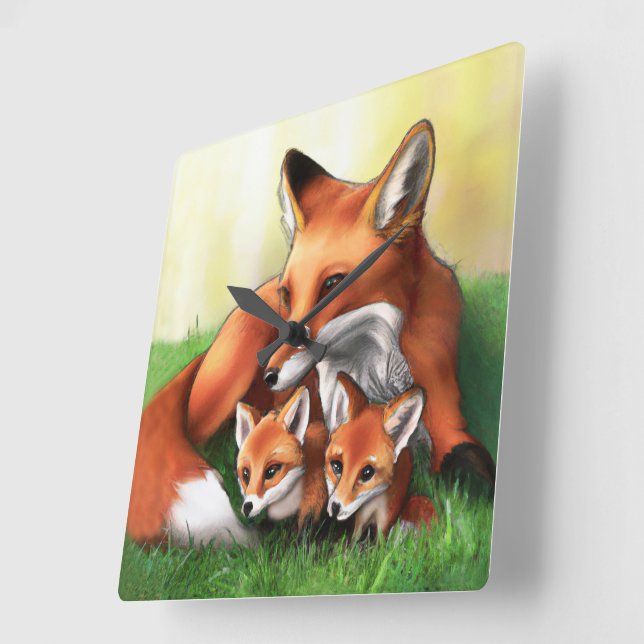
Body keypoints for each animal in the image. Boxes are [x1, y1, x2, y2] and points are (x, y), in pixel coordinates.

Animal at [325, 372, 436, 540]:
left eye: (367, 472)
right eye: (337, 466)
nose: (335, 507)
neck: (375, 503)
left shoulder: (386, 518)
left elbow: (380, 544)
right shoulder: (361, 516)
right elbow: (354, 540)